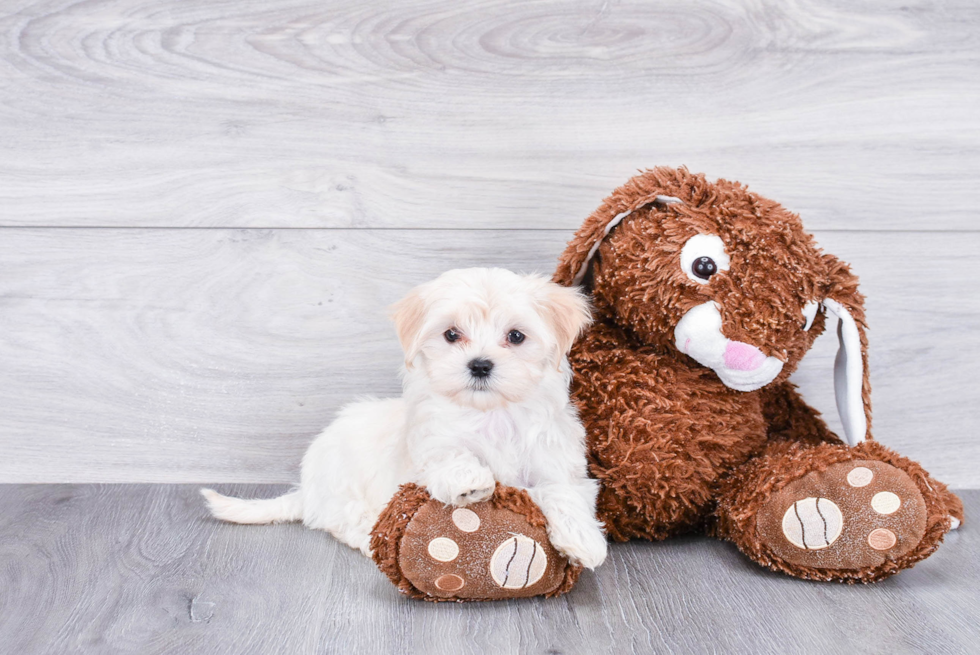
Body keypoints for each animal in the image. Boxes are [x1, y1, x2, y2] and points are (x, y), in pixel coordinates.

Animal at [203, 270, 608, 572]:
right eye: (451, 334)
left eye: (516, 336)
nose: (479, 365)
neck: (491, 413)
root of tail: (308, 490)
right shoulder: (426, 448)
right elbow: (447, 453)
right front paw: (468, 479)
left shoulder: (556, 459)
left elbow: (563, 491)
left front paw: (583, 541)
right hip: (342, 481)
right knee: (346, 520)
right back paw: (374, 539)